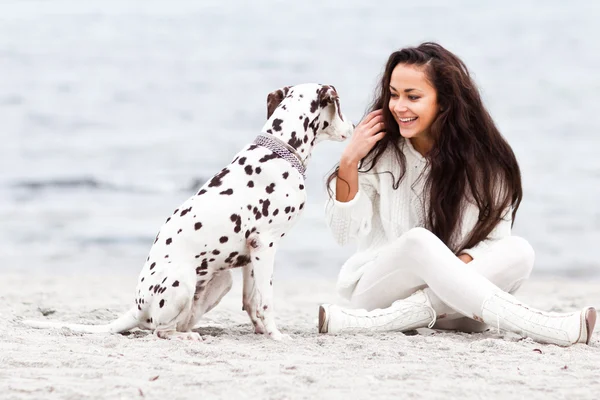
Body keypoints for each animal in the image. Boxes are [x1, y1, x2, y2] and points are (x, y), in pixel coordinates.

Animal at [23, 83, 354, 340]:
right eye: (339, 105)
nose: (352, 128)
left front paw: (262, 331)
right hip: (182, 281)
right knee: (160, 331)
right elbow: (266, 301)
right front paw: (276, 335)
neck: (280, 151)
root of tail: (136, 307)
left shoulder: (251, 254)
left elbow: (251, 301)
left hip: (221, 281)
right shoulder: (265, 245)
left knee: (179, 324)